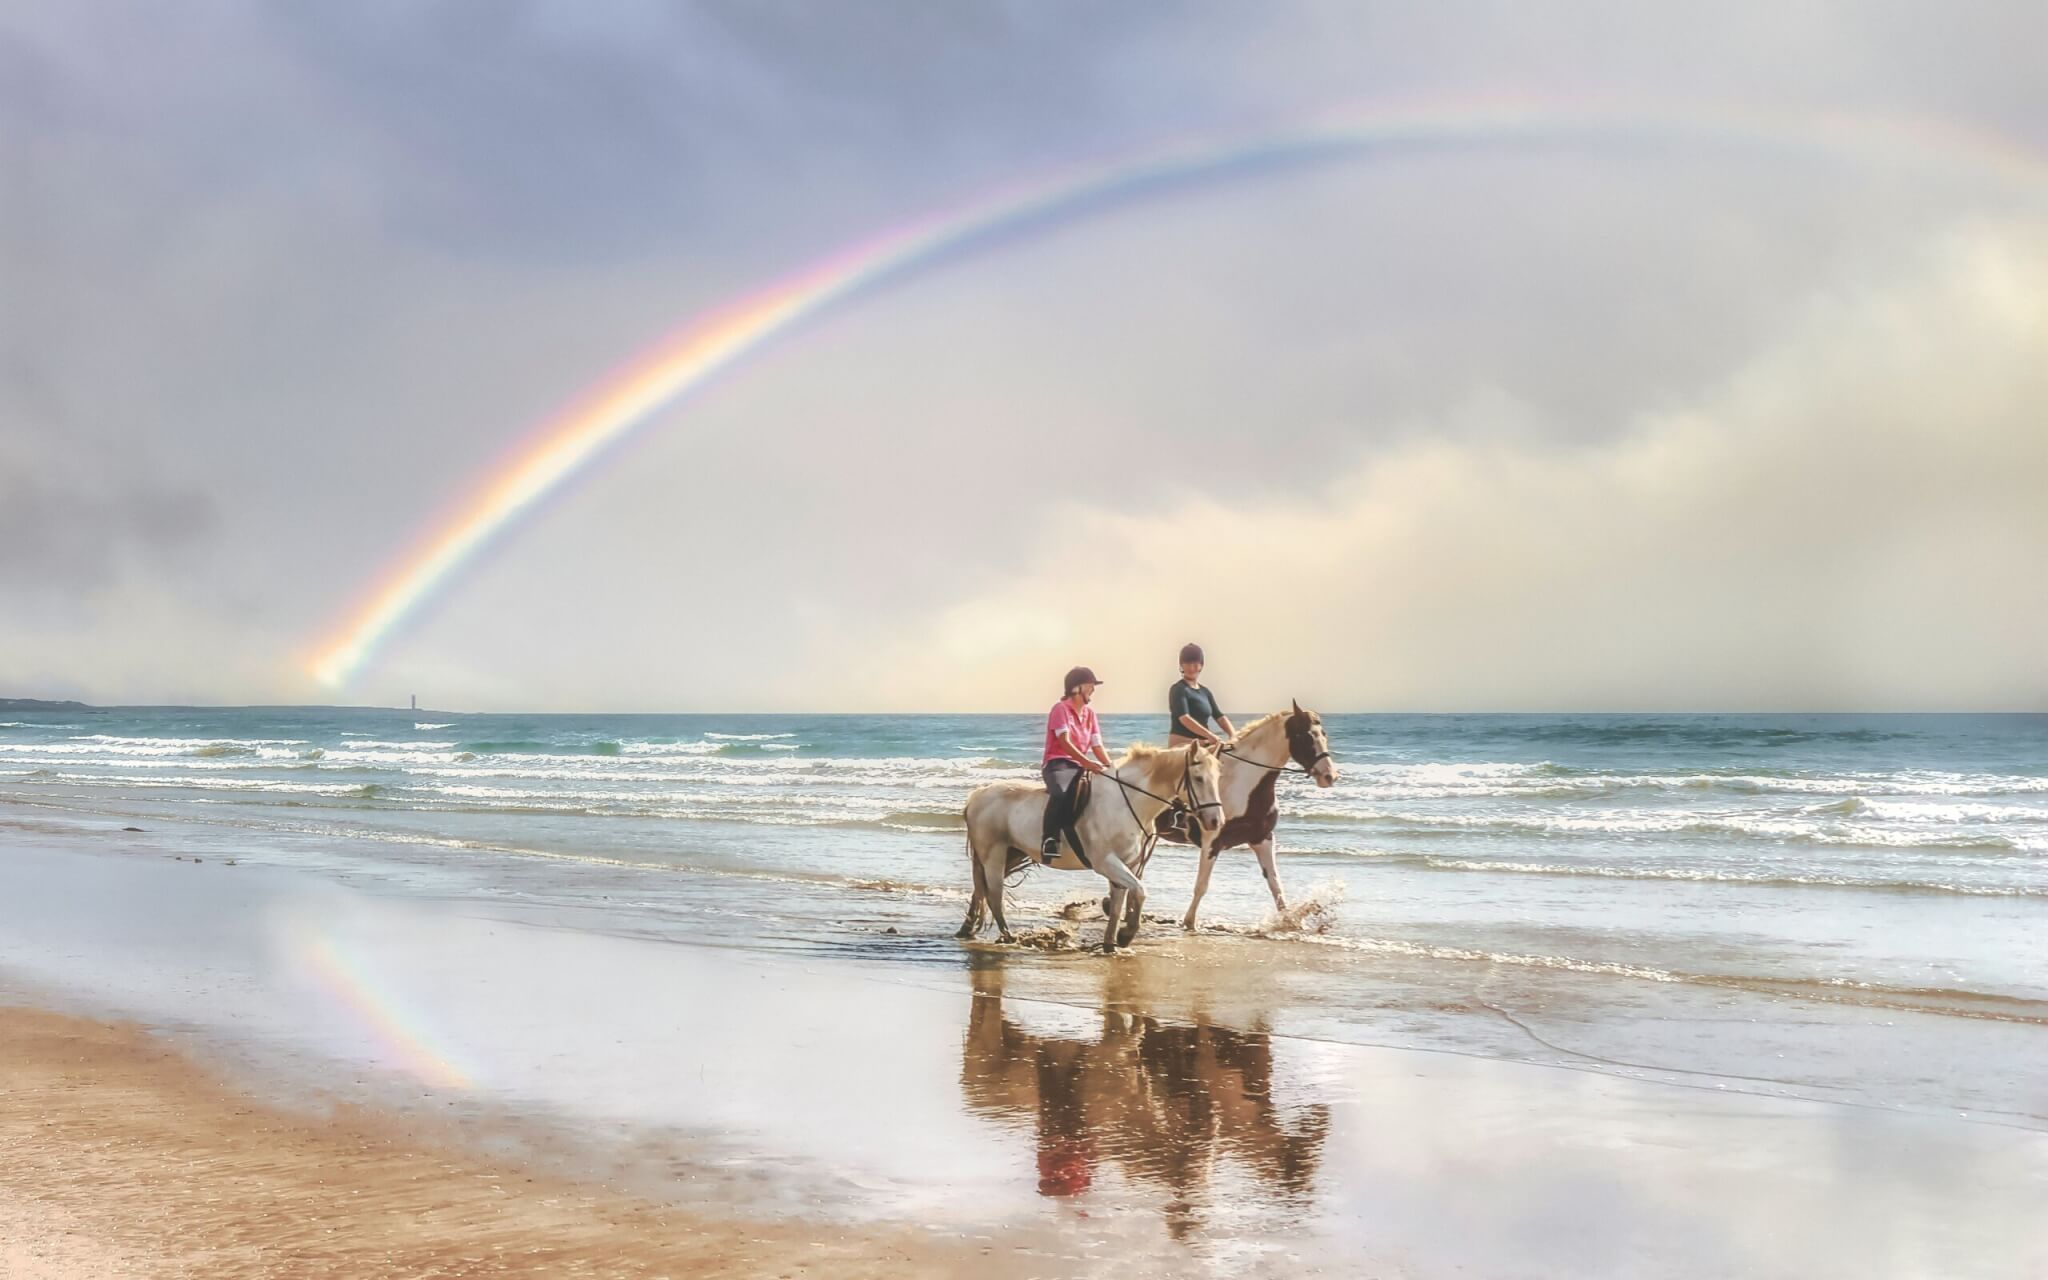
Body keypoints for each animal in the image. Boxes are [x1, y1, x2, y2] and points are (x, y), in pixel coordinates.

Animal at [954, 737, 1220, 950]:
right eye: (1198, 778)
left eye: (1218, 777)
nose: (1216, 820)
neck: (1128, 802)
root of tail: (978, 795)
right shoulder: (1107, 863)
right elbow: (1140, 892)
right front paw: (1126, 935)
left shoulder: (1129, 864)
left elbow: (1120, 903)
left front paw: (1112, 943)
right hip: (994, 854)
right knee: (994, 894)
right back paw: (1008, 938)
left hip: (1009, 852)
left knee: (981, 891)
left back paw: (969, 930)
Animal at [1163, 700, 1335, 929]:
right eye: (1305, 736)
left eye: (1323, 734)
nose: (1330, 776)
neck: (1244, 783)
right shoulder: (1212, 841)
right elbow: (1201, 885)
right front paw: (1189, 923)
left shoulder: (1263, 839)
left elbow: (1275, 884)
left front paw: (1289, 921)